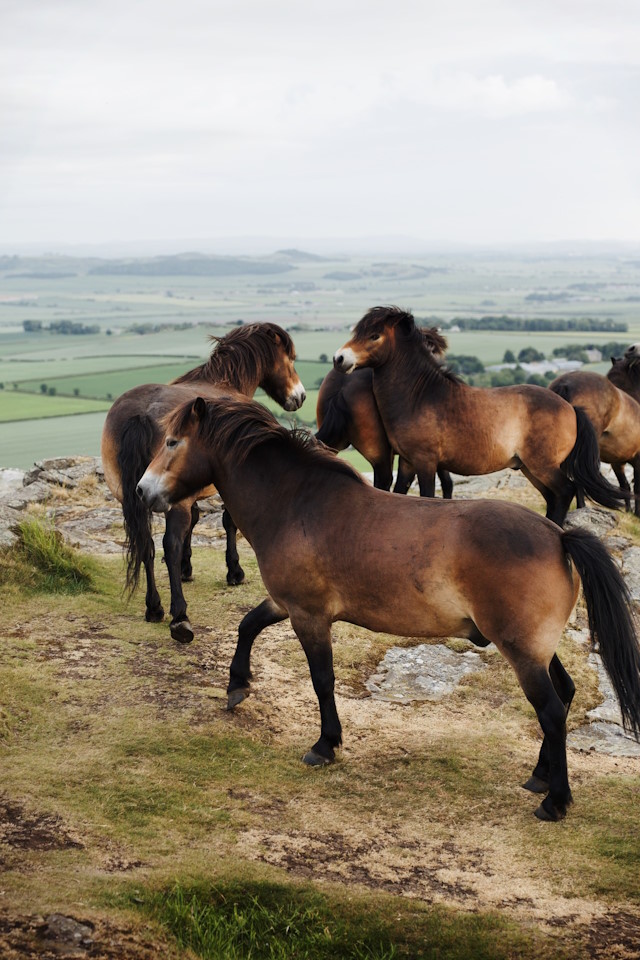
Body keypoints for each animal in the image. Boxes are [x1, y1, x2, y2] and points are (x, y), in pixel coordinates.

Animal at [101, 323, 305, 643]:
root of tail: (142, 414)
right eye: (291, 358)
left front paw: (187, 568)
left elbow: (195, 521)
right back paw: (179, 617)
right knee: (168, 545)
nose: (300, 397)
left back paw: (154, 607)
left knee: (146, 545)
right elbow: (229, 522)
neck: (226, 384)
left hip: (131, 497)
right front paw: (234, 572)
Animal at [136, 395, 640, 822]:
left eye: (173, 442)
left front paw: (325, 744)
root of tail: (559, 536)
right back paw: (539, 777)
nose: (142, 491)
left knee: (551, 711)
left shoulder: (309, 616)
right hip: (536, 648)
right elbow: (248, 625)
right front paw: (237, 684)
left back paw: (556, 800)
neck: (296, 504)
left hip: (521, 651)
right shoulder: (286, 603)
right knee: (566, 694)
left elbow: (322, 680)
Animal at [333, 306, 629, 526]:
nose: (339, 359)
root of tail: (570, 408)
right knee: (554, 497)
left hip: (543, 465)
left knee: (565, 491)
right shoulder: (407, 461)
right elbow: (398, 493)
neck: (420, 396)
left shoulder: (425, 462)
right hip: (530, 468)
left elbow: (427, 495)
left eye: (374, 336)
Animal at [550, 370, 640, 516]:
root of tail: (565, 384)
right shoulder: (637, 459)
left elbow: (625, 485)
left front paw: (628, 511)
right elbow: (636, 486)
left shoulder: (617, 463)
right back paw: (581, 506)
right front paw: (636, 513)